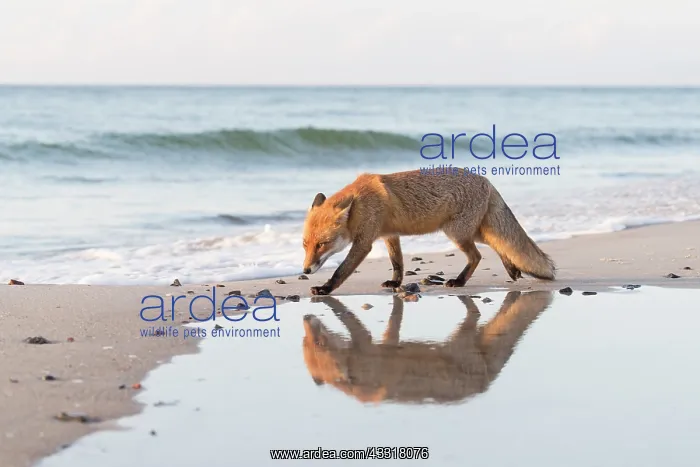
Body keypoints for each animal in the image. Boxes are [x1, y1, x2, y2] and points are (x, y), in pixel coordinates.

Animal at [302, 169, 555, 295]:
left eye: (322, 244)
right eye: (305, 245)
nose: (305, 269)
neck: (361, 204)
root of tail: (486, 180)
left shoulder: (364, 242)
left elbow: (341, 271)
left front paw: (325, 288)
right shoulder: (389, 235)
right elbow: (397, 263)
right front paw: (395, 283)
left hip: (456, 232)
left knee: (478, 255)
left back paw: (459, 281)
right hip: (469, 231)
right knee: (497, 243)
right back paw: (511, 267)